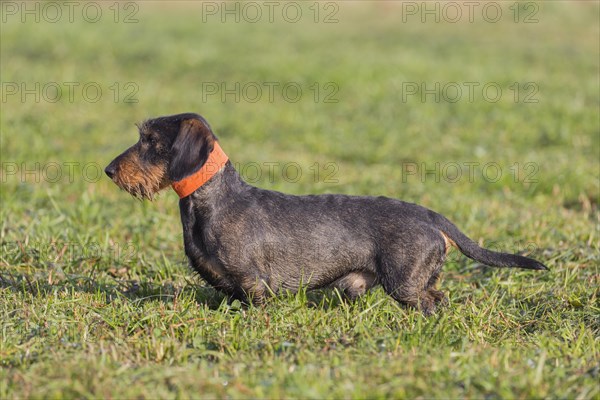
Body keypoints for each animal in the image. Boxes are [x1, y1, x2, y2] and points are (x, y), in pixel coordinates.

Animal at [105, 112, 548, 316]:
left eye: (150, 140)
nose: (109, 170)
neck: (216, 201)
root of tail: (429, 215)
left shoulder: (253, 284)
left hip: (404, 282)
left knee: (432, 299)